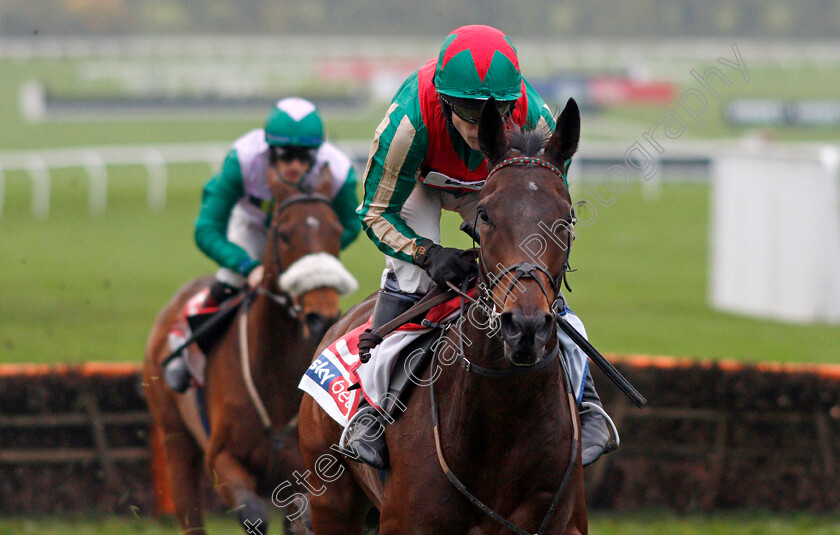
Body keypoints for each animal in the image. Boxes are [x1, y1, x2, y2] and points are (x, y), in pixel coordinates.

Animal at [144, 165, 354, 532]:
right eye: (284, 235)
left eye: (336, 231)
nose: (321, 315)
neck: (274, 373)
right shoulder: (222, 459)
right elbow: (253, 514)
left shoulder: (305, 472)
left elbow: (301, 517)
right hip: (174, 437)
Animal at [300, 98, 584, 532]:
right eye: (485, 215)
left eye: (567, 218)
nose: (525, 328)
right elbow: (378, 211)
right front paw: (446, 262)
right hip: (330, 499)